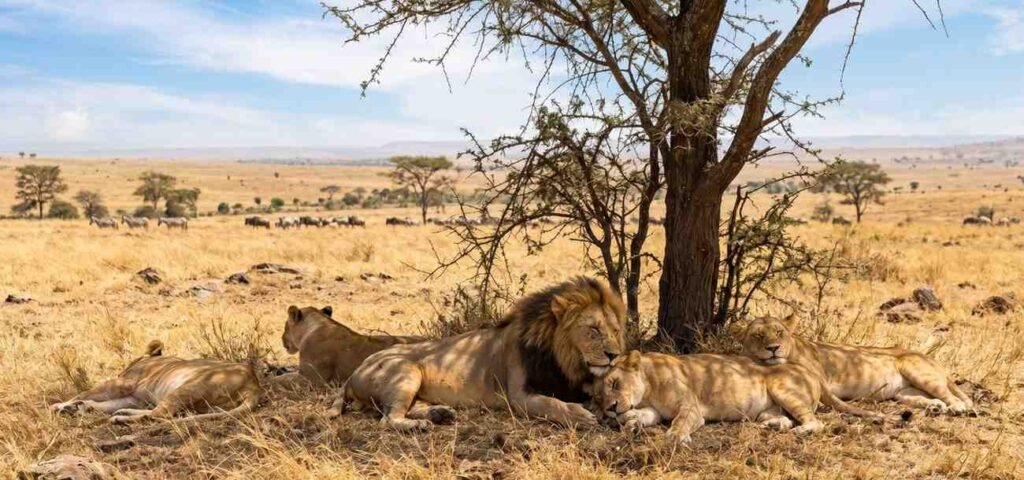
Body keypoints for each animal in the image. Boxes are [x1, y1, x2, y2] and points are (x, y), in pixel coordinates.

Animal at [51, 340, 262, 425]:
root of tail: (254, 384)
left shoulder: (124, 383)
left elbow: (85, 393)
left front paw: (61, 405)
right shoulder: (135, 397)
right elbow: (99, 403)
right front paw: (74, 408)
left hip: (188, 387)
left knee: (161, 414)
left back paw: (120, 419)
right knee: (157, 413)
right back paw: (121, 413)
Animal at [329, 276, 627, 430]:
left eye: (615, 330)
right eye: (593, 329)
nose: (614, 355)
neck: (563, 360)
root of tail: (354, 372)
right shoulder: (517, 396)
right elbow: (550, 404)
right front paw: (581, 416)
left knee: (407, 409)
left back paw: (440, 414)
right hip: (406, 370)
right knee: (388, 419)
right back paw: (422, 425)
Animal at [596, 350, 883, 445]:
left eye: (615, 383)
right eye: (598, 397)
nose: (609, 408)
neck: (649, 387)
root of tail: (810, 370)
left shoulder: (691, 408)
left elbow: (679, 422)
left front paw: (675, 437)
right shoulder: (653, 410)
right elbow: (642, 415)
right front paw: (631, 423)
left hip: (782, 387)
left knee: (814, 421)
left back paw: (800, 432)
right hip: (769, 406)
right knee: (786, 418)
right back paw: (772, 425)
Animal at [738, 315, 973, 414]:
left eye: (779, 332)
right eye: (758, 335)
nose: (773, 348)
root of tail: (932, 359)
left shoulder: (822, 382)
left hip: (917, 370)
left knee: (952, 396)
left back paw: (956, 408)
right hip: (903, 392)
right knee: (924, 397)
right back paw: (935, 407)